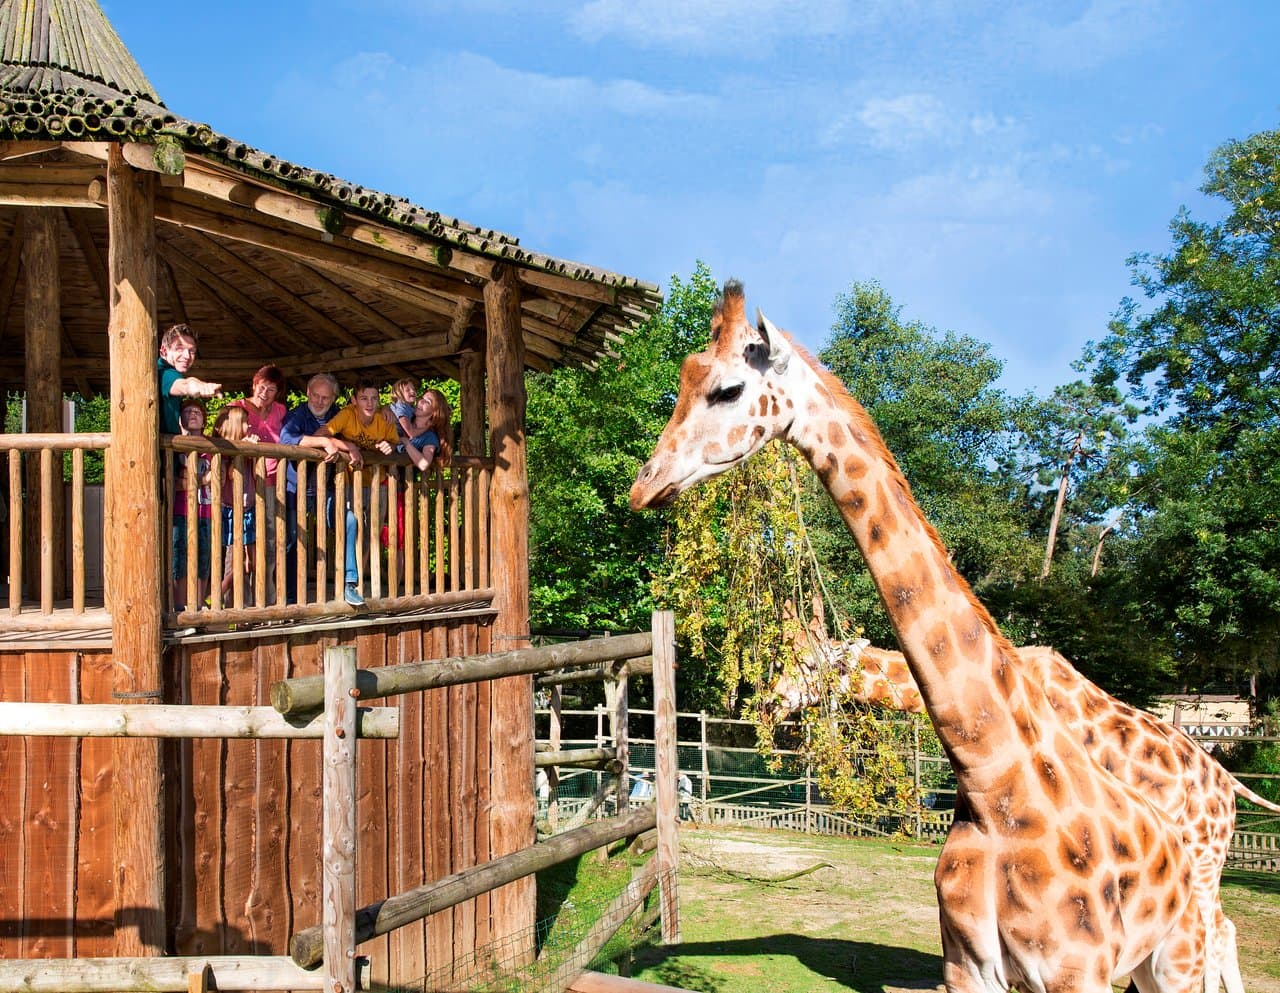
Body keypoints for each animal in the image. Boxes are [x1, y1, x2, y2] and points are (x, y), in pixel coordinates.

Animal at [631, 281, 1207, 993]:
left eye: (728, 389)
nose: (643, 485)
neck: (994, 786)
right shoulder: (966, 967)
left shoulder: (1079, 973)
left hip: (1178, 949)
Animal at [771, 603, 1280, 993]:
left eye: (811, 664)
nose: (772, 703)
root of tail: (1229, 786)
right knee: (1222, 929)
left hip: (1203, 858)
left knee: (1212, 934)